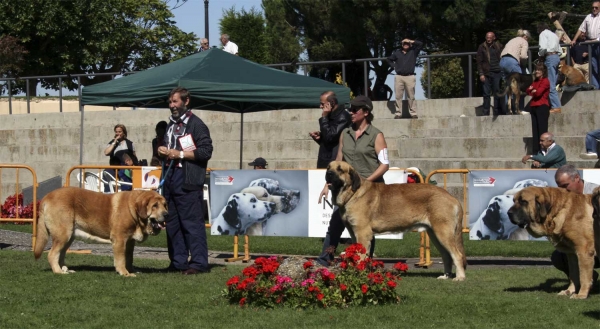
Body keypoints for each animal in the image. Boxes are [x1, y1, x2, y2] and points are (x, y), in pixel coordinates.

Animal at [34, 186, 168, 276]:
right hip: (63, 235)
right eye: (155, 206)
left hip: (69, 237)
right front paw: (125, 273)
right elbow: (121, 258)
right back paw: (58, 271)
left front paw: (131, 270)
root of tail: (47, 197)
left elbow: (129, 257)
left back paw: (65, 269)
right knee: (52, 254)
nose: (167, 214)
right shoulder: (120, 239)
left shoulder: (130, 242)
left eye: (165, 205)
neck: (134, 211)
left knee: (60, 254)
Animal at [326, 160, 466, 280]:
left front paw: (359, 274)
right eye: (328, 167)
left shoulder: (363, 234)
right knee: (447, 256)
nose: (328, 174)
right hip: (435, 234)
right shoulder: (354, 234)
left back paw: (460, 277)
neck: (352, 193)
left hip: (443, 233)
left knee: (457, 255)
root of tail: (452, 197)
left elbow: (361, 257)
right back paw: (446, 276)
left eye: (340, 169)